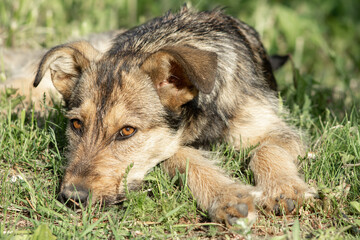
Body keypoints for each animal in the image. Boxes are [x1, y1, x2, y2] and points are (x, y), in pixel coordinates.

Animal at [33, 6, 316, 226]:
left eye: (127, 131)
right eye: (76, 124)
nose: (73, 196)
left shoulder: (275, 128)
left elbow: (267, 149)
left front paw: (284, 189)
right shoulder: (170, 145)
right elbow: (184, 156)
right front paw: (226, 195)